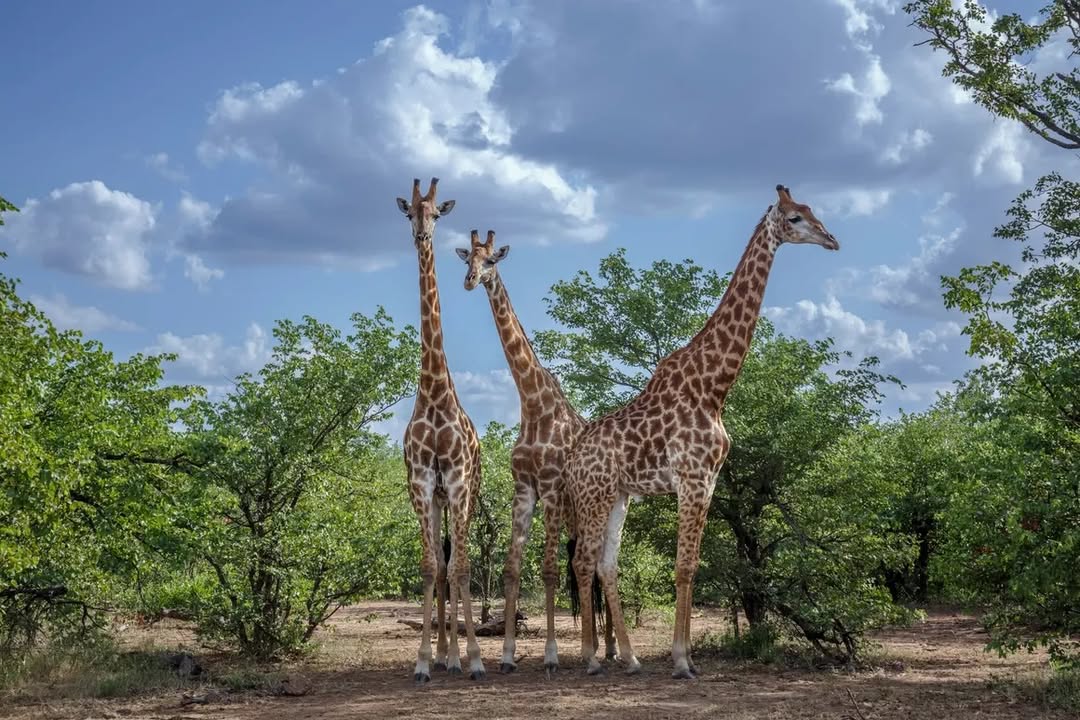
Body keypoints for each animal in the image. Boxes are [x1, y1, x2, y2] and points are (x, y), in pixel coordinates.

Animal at [455, 229, 614, 675]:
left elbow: (546, 571)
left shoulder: (552, 489)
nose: (470, 281)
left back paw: (610, 650)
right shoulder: (524, 489)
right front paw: (508, 656)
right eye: (467, 259)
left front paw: (551, 655)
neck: (533, 404)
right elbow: (511, 570)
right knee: (588, 567)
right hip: (578, 518)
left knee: (600, 567)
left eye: (492, 260)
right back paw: (600, 648)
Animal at [566, 184, 840, 679]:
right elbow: (682, 566)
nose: (832, 239)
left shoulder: (708, 480)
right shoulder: (692, 479)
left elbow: (691, 565)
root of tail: (572, 460)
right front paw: (679, 660)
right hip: (594, 495)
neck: (714, 387)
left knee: (606, 565)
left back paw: (631, 659)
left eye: (813, 210)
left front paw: (688, 656)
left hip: (619, 496)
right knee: (583, 561)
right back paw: (592, 659)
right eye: (794, 218)